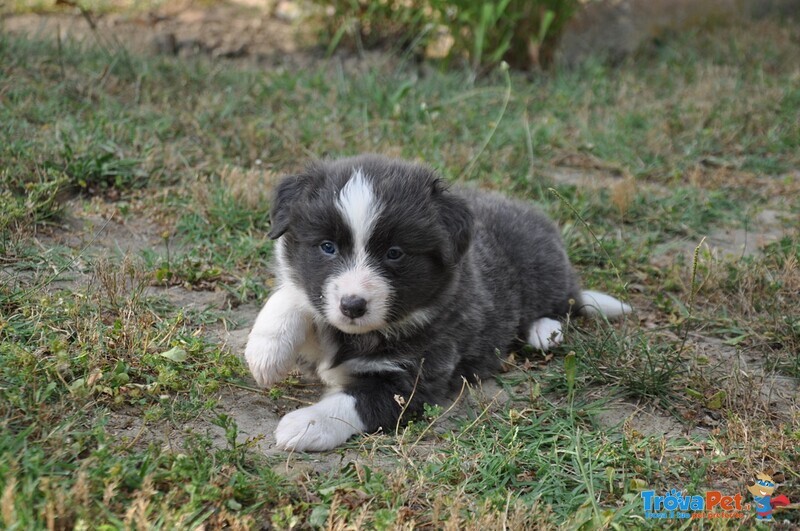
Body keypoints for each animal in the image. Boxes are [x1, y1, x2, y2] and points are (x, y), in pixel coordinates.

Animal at [245, 155, 632, 454]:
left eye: (395, 253)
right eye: (327, 247)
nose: (353, 306)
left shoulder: (414, 378)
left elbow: (355, 401)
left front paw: (308, 423)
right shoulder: (323, 309)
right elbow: (296, 294)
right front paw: (266, 351)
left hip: (544, 269)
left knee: (564, 300)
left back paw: (545, 330)